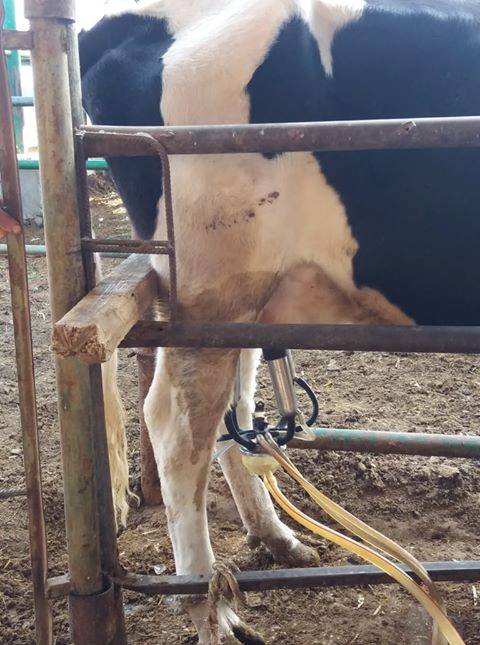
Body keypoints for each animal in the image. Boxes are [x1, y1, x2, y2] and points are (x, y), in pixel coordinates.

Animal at [79, 1, 480, 641]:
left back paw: (277, 539)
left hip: (245, 303)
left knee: (231, 416)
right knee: (176, 430)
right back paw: (212, 612)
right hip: (214, 288)